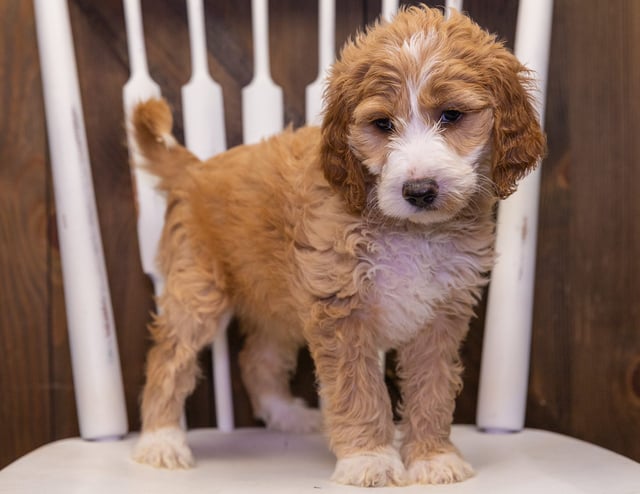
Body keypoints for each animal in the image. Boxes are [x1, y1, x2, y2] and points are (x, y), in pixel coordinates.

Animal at [130, 6, 544, 486]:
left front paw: (432, 458)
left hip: (277, 297)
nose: (419, 190)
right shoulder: (341, 309)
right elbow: (358, 389)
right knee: (169, 357)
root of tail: (195, 168)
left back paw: (284, 414)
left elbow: (433, 389)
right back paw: (160, 440)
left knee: (258, 357)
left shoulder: (441, 315)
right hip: (197, 288)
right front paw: (370, 458)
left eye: (452, 116)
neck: (409, 230)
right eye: (382, 124)